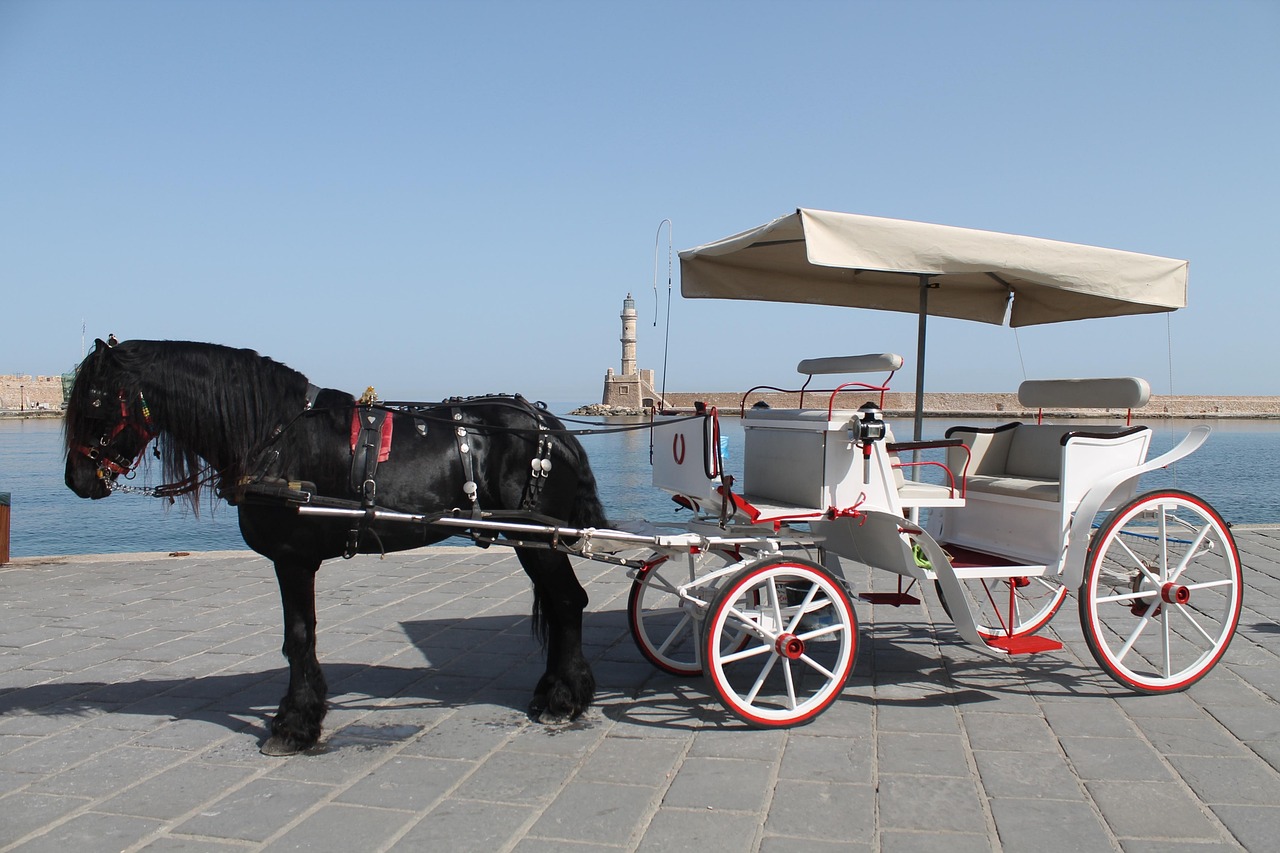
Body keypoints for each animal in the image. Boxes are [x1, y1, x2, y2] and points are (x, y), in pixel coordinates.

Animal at [63, 338, 609, 755]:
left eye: (95, 402)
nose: (76, 480)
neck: (276, 435)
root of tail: (554, 427)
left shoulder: (293, 558)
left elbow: (299, 637)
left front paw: (294, 724)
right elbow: (297, 638)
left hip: (536, 539)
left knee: (567, 601)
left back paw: (564, 699)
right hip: (532, 538)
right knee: (560, 604)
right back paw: (556, 691)